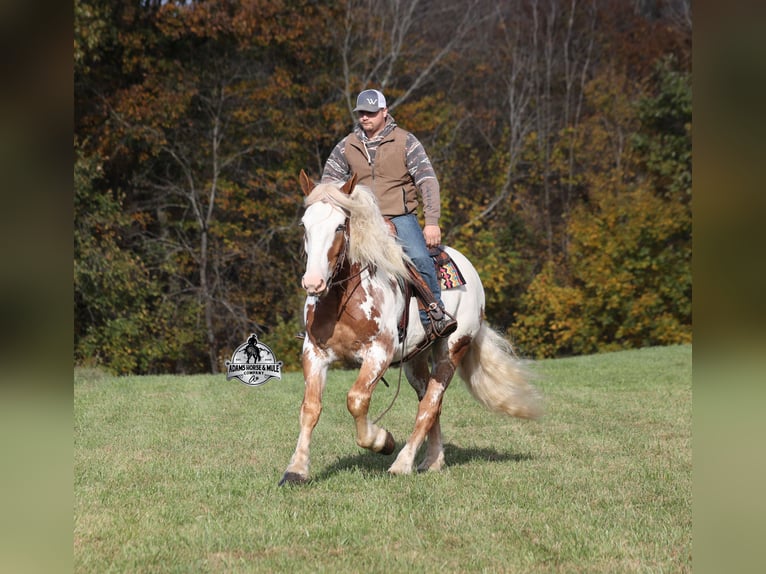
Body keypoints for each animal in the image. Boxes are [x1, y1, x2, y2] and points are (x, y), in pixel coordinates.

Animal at [279, 171, 542, 485]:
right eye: (304, 225)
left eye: (340, 225)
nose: (313, 282)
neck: (342, 301)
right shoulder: (314, 353)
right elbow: (310, 409)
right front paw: (296, 469)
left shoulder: (378, 353)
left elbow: (357, 400)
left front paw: (382, 440)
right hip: (415, 359)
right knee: (429, 400)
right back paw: (433, 460)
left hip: (451, 351)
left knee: (429, 405)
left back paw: (403, 463)